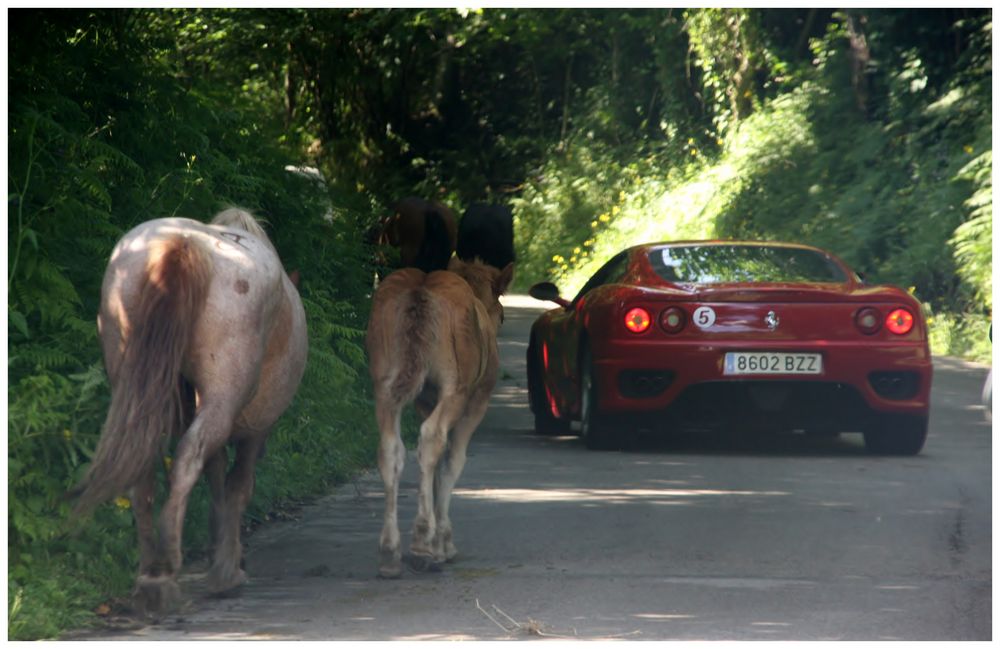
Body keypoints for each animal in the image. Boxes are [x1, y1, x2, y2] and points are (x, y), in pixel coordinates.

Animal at [73, 208, 306, 612]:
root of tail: (179, 244)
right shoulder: (255, 428)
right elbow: (236, 485)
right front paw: (227, 564)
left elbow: (215, 476)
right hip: (223, 401)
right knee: (187, 459)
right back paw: (171, 568)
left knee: (144, 468)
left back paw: (151, 572)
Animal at [364, 256, 512, 576]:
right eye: (502, 314)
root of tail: (420, 293)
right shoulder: (475, 401)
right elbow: (452, 461)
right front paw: (444, 542)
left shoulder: (424, 401)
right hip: (455, 388)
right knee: (432, 439)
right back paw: (421, 543)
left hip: (383, 385)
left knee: (391, 449)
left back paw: (390, 552)